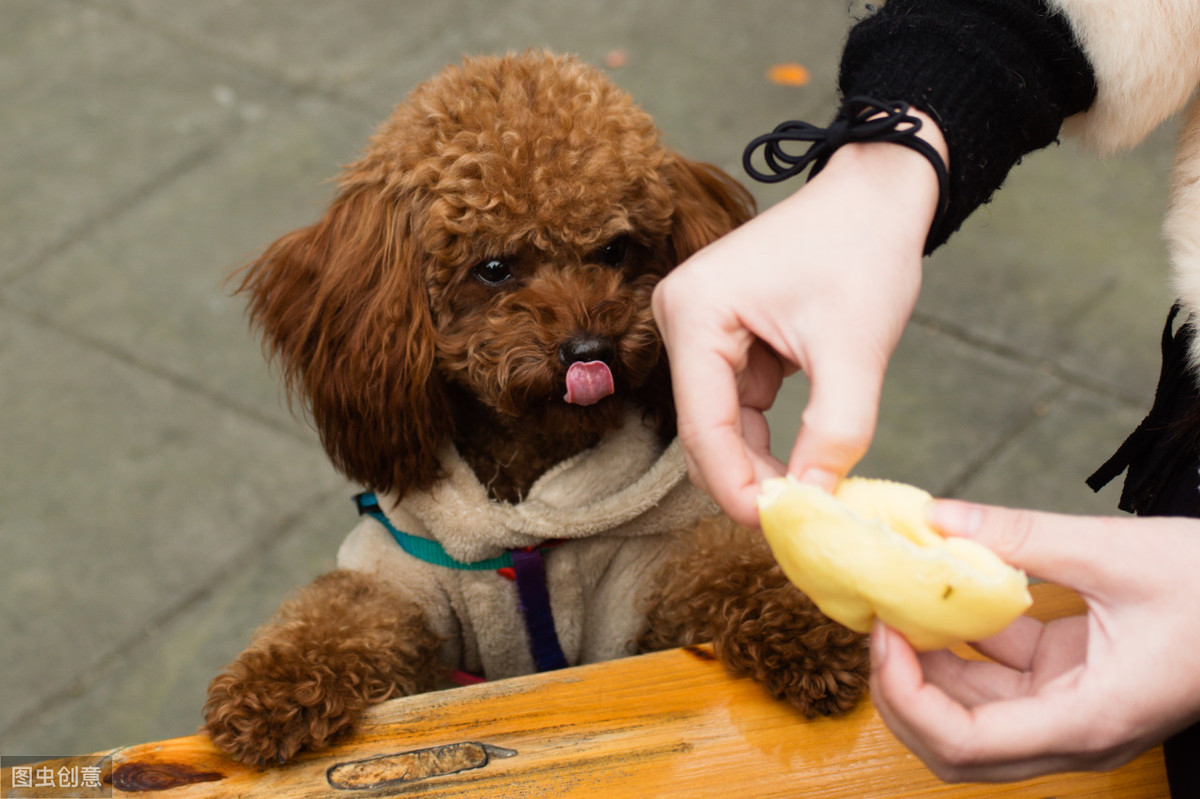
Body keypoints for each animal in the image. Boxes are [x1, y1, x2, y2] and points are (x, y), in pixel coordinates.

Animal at [204, 51, 864, 767]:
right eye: (493, 268)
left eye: (616, 250)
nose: (590, 350)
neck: (530, 509)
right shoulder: (404, 578)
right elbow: (341, 608)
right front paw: (276, 689)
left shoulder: (647, 580)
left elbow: (729, 563)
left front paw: (812, 626)